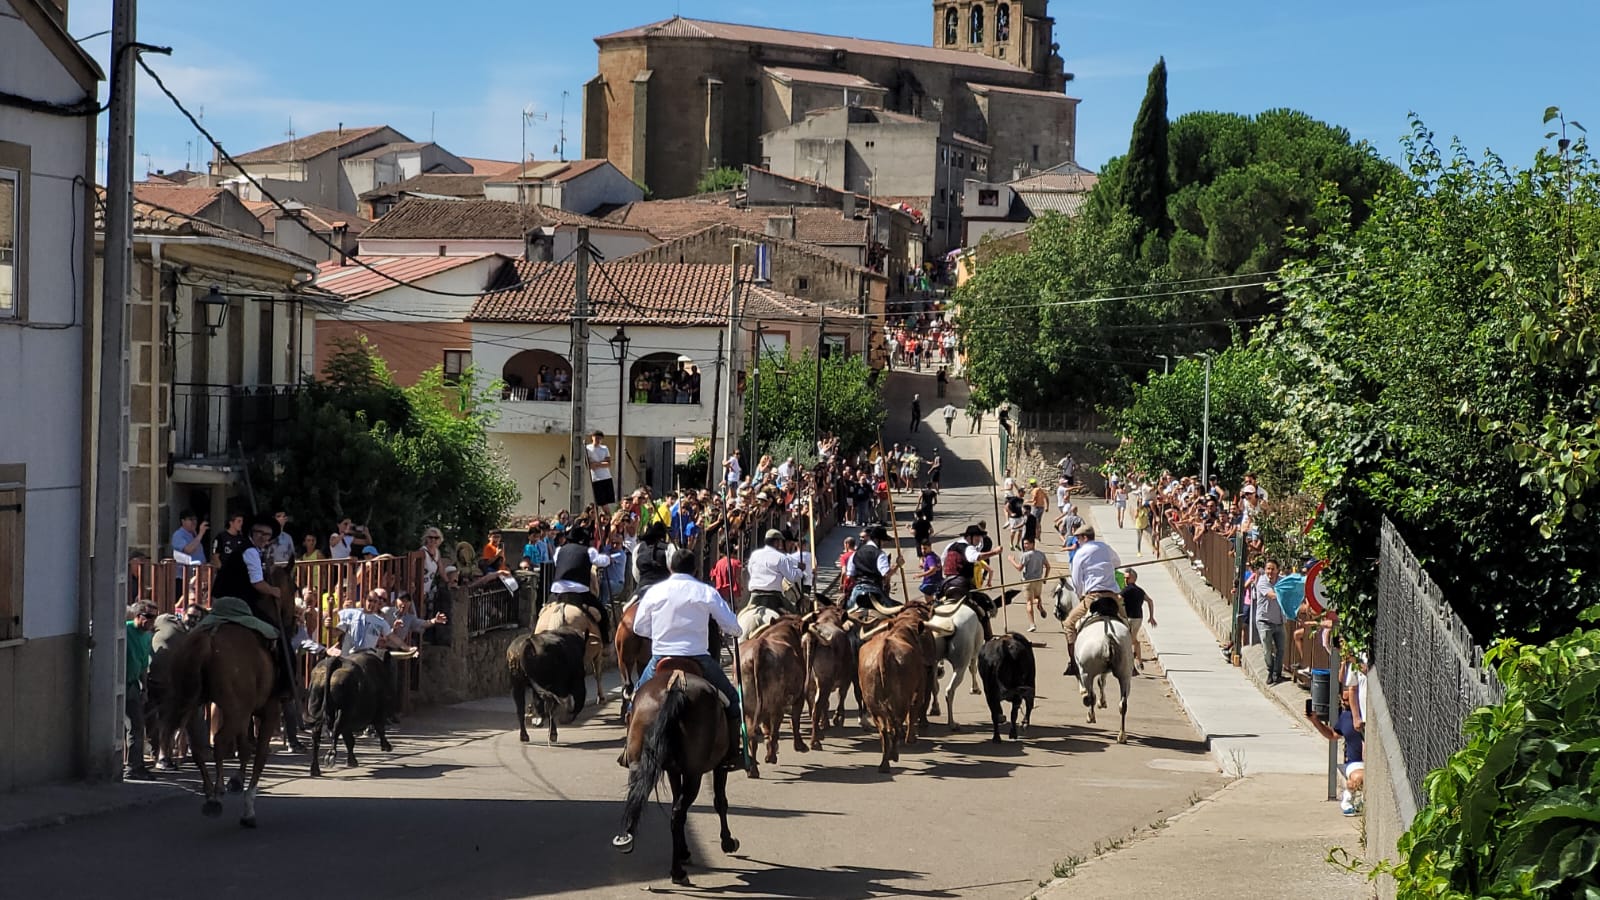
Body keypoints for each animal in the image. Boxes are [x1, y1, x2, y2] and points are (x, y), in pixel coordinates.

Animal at [160, 563, 300, 826]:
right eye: (294, 587)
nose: (295, 624)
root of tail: (208, 639)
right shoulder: (268, 711)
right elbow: (259, 754)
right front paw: (248, 806)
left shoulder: (244, 713)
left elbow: (245, 747)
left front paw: (235, 781)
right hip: (234, 710)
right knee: (220, 741)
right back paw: (216, 796)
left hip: (193, 705)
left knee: (198, 746)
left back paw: (209, 791)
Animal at [614, 650, 739, 883]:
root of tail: (674, 686)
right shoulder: (719, 766)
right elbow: (720, 801)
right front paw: (727, 842)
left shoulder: (673, 770)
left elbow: (675, 799)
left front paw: (684, 850)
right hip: (694, 774)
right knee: (677, 814)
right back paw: (677, 872)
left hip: (639, 763)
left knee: (650, 803)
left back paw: (628, 839)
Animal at [739, 608, 812, 778]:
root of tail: (758, 649)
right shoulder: (799, 695)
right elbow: (795, 720)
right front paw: (800, 745)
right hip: (775, 703)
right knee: (775, 727)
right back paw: (770, 757)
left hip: (750, 706)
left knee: (752, 734)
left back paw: (753, 769)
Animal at [1068, 608, 1132, 743]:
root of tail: (1108, 636)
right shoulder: (1105, 671)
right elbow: (1102, 682)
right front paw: (1102, 702)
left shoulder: (1084, 671)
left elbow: (1091, 692)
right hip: (1125, 675)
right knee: (1123, 704)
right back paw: (1122, 735)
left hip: (1087, 673)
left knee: (1091, 696)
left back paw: (1091, 715)